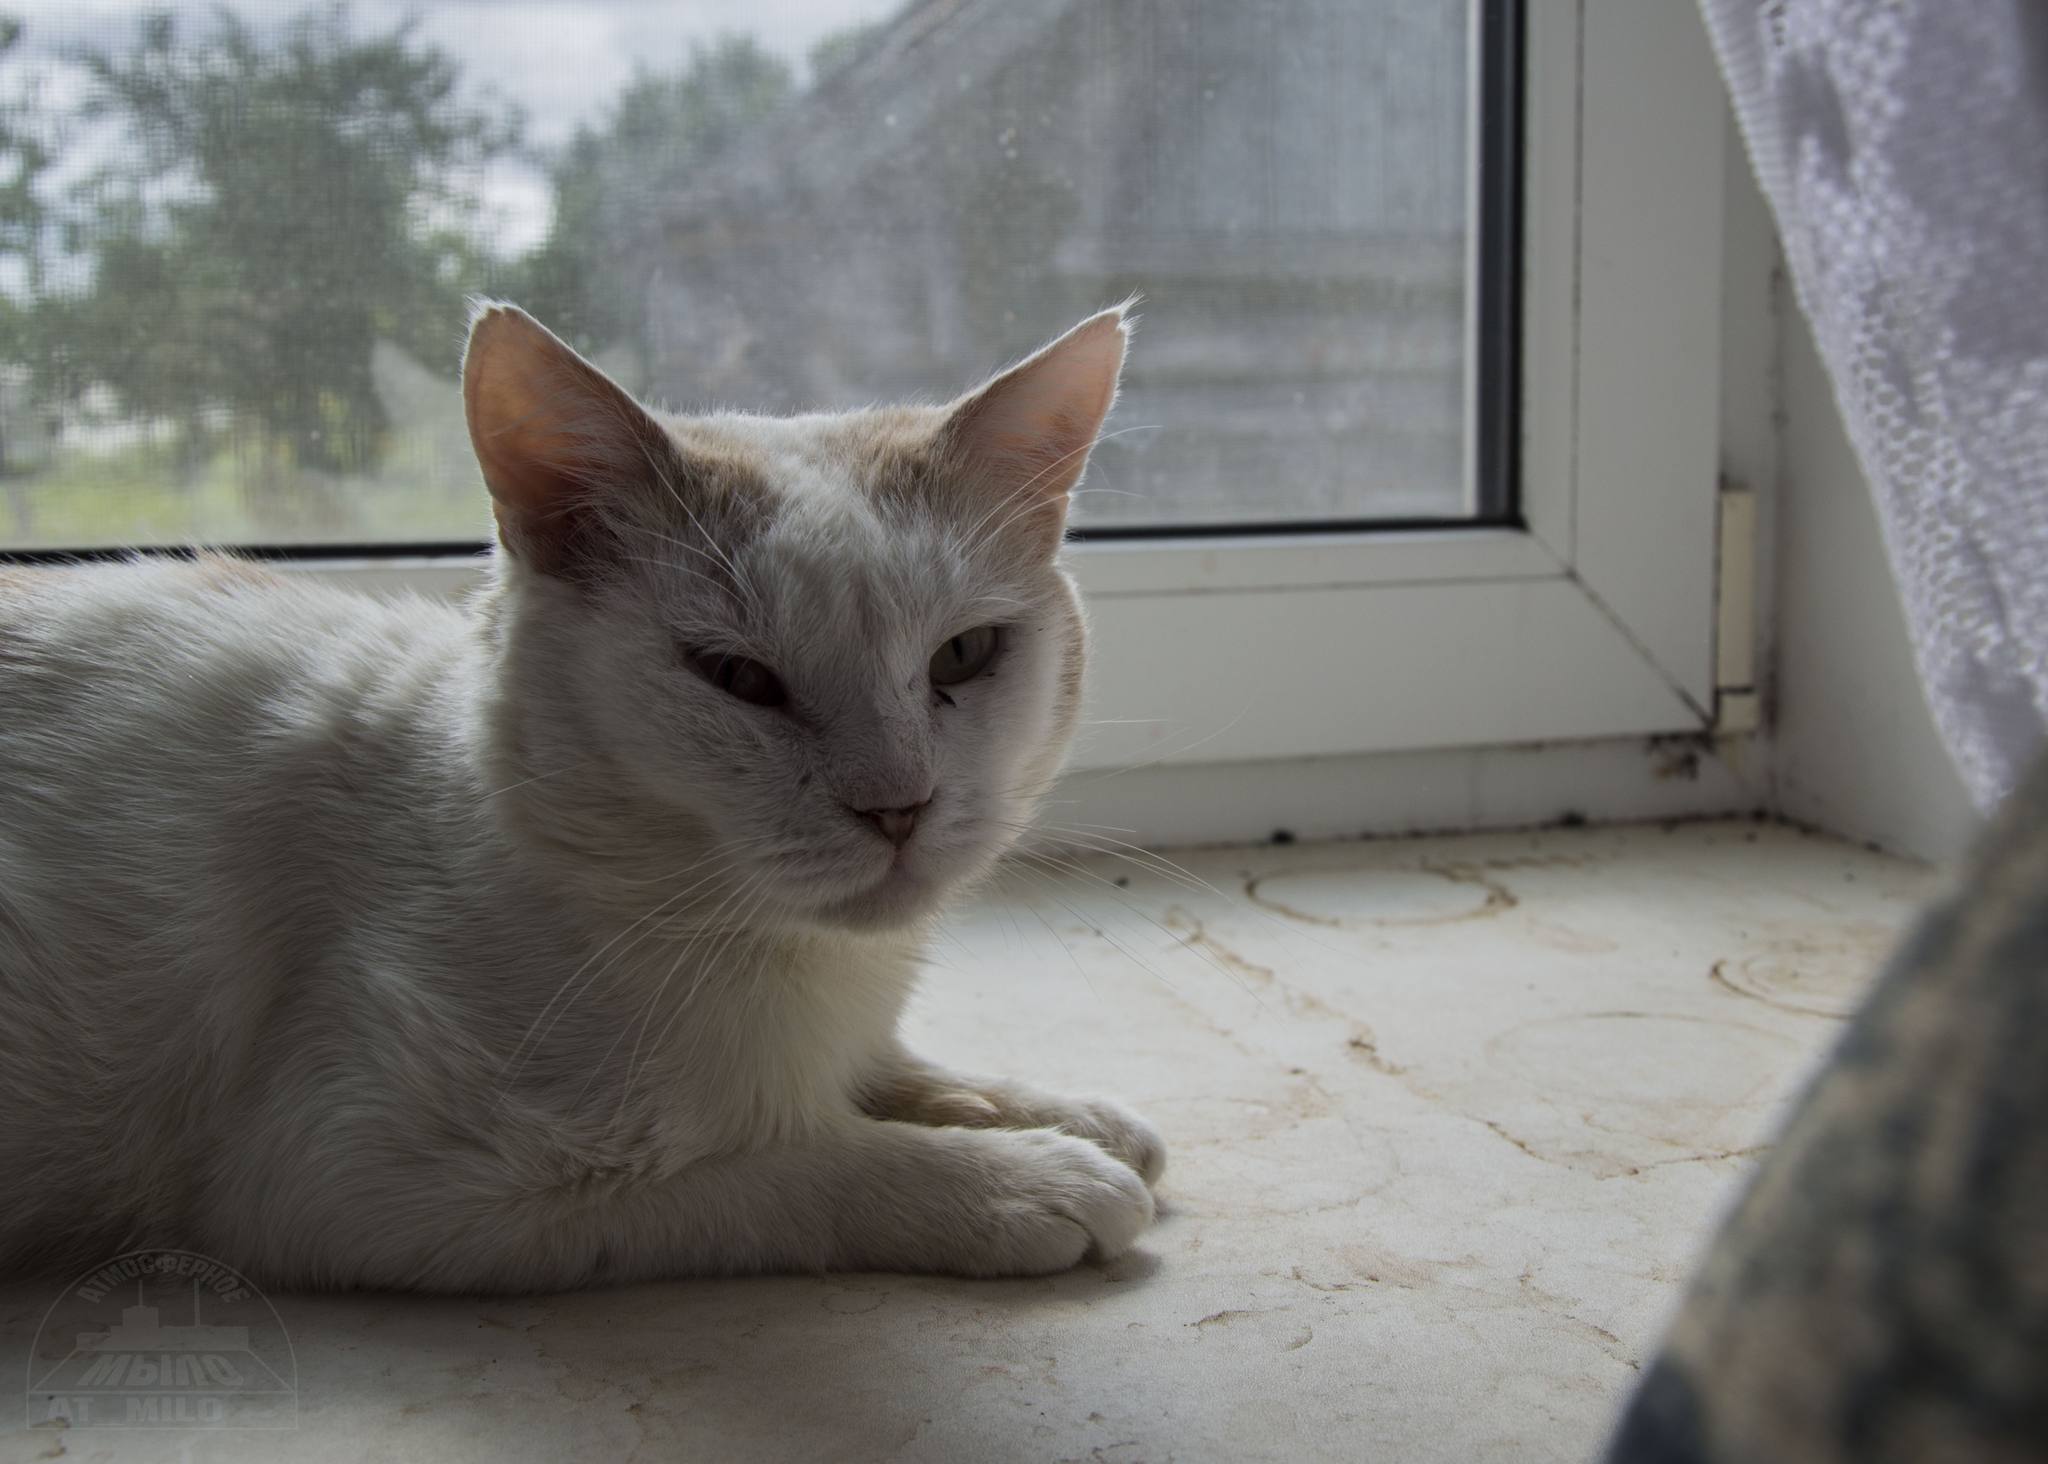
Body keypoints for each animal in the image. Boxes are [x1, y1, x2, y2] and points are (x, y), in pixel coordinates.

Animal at [0, 303, 1163, 1285]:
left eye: (963, 655)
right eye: (736, 678)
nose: (897, 807)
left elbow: (900, 1071)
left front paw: (1065, 1115)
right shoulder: (363, 1185)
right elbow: (803, 1161)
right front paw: (1027, 1178)